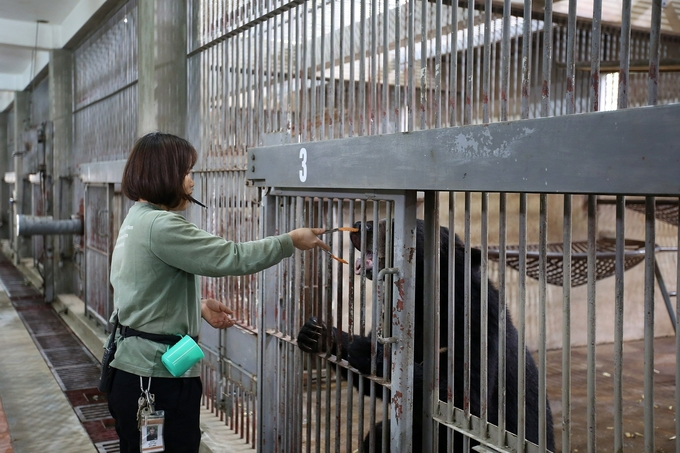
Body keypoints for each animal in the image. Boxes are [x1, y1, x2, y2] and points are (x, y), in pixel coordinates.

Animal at [298, 218, 552, 448]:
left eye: (392, 224)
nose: (360, 225)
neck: (423, 299)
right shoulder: (391, 316)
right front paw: (316, 332)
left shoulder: (477, 323)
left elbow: (463, 394)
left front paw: (364, 350)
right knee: (378, 435)